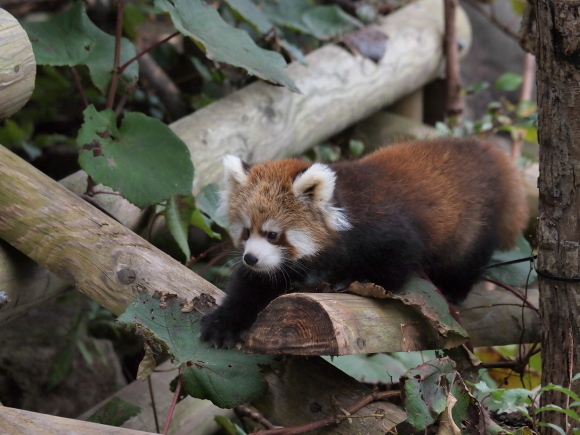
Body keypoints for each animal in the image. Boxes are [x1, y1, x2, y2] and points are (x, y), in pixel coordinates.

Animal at [201, 138, 532, 350]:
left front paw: (348, 279)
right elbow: (253, 286)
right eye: (246, 232)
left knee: (468, 258)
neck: (342, 213)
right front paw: (224, 323)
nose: (250, 259)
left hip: (477, 222)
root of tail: (493, 155)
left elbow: (394, 265)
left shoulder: (386, 231)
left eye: (272, 234)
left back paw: (453, 288)